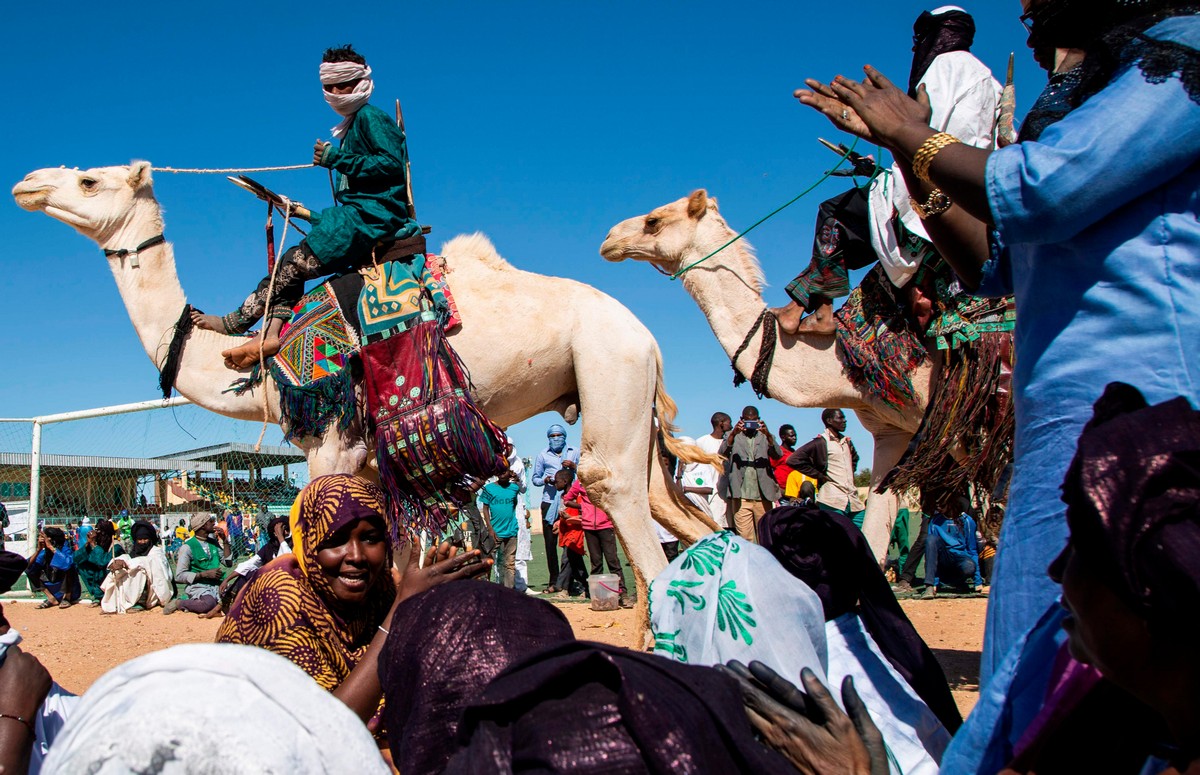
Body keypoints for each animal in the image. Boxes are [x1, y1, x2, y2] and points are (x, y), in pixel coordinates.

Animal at [9, 161, 715, 602]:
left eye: (88, 179)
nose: (28, 183)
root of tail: (647, 337)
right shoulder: (373, 457)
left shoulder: (334, 440)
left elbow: (309, 529)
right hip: (629, 397)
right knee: (678, 509)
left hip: (607, 364)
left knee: (615, 488)